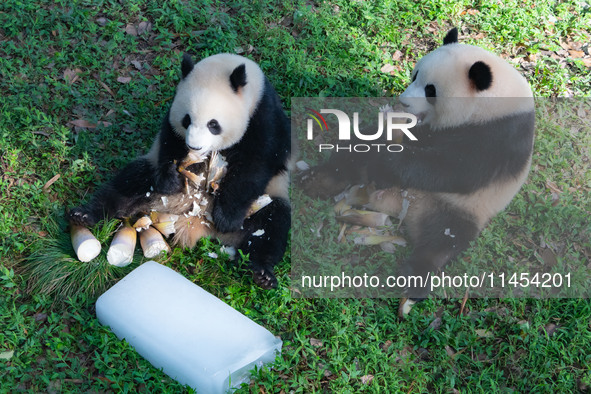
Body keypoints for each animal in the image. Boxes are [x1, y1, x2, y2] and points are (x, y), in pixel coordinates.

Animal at [69, 53, 292, 290]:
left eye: (213, 124)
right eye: (187, 120)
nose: (194, 147)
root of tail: (196, 222)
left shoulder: (266, 118)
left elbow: (256, 166)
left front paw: (227, 217)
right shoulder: (172, 120)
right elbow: (170, 141)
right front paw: (172, 178)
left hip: (269, 197)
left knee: (271, 226)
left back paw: (261, 273)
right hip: (150, 180)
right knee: (127, 185)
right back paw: (84, 215)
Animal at [302, 27, 536, 298]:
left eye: (430, 90)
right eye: (415, 75)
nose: (403, 102)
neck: (493, 100)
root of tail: (396, 208)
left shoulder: (500, 134)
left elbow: (455, 169)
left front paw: (387, 165)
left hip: (459, 207)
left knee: (444, 239)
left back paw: (413, 276)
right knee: (351, 154)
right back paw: (318, 180)